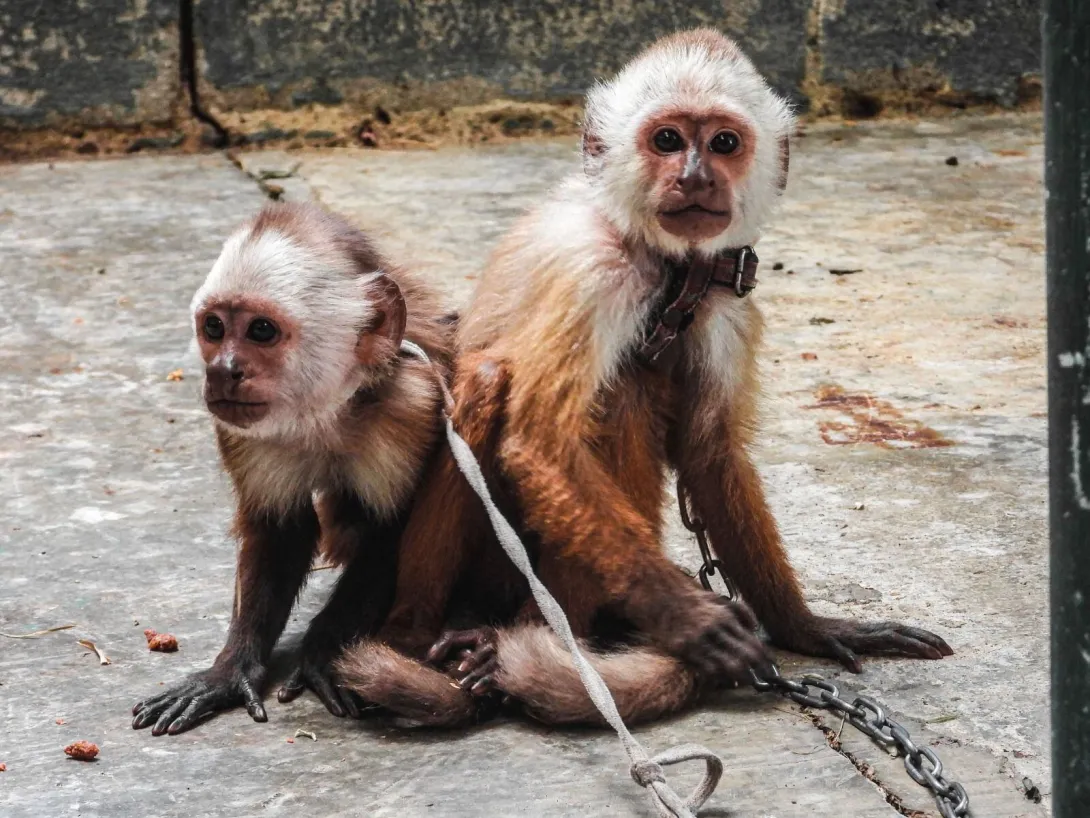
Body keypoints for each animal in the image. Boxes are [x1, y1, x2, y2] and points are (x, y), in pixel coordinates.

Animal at [129, 200, 453, 737]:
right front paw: (230, 671)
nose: (223, 370)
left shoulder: (412, 404)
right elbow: (280, 532)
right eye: (214, 328)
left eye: (261, 330)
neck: (325, 414)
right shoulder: (238, 428)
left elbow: (391, 532)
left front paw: (322, 652)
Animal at [335, 28, 950, 728]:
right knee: (517, 381)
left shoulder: (727, 297)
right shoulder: (591, 272)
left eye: (724, 143)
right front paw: (691, 623)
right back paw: (435, 632)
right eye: (668, 140)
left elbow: (709, 453)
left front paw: (805, 627)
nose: (695, 176)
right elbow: (540, 446)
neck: (668, 269)